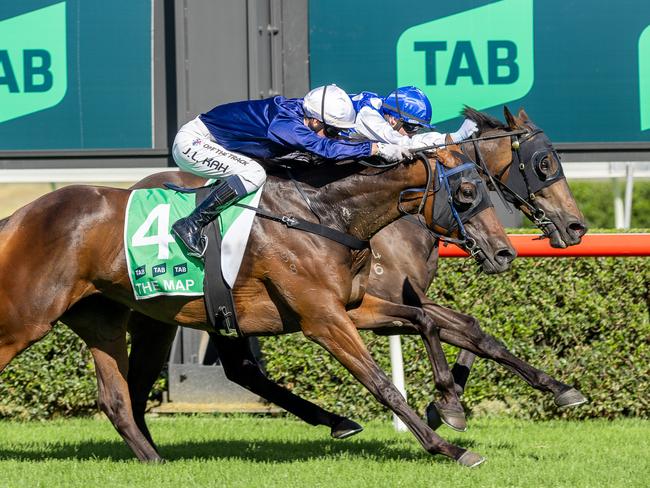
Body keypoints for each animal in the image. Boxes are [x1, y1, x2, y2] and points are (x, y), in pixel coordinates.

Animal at [0, 145, 506, 466]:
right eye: (467, 194)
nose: (503, 252)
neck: (321, 215)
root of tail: (18, 218)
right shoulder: (322, 318)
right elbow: (382, 384)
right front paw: (449, 448)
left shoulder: (351, 305)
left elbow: (423, 319)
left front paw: (450, 402)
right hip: (25, 319)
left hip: (104, 317)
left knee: (118, 398)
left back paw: (155, 459)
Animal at [125, 107, 588, 446]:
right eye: (544, 163)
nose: (576, 227)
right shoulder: (373, 305)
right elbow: (451, 330)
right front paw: (446, 406)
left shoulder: (392, 301)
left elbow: (472, 331)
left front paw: (555, 387)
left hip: (211, 309)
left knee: (240, 369)